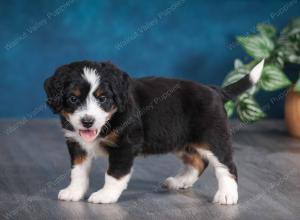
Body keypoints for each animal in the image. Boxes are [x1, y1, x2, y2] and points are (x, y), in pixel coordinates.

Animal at [43, 58, 264, 205]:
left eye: (103, 98)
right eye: (73, 99)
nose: (87, 121)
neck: (110, 119)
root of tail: (215, 90)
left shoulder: (125, 145)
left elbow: (114, 174)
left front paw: (105, 195)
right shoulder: (76, 144)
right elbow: (78, 171)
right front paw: (74, 192)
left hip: (213, 138)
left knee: (227, 166)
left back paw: (227, 195)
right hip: (181, 140)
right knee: (198, 162)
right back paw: (180, 181)